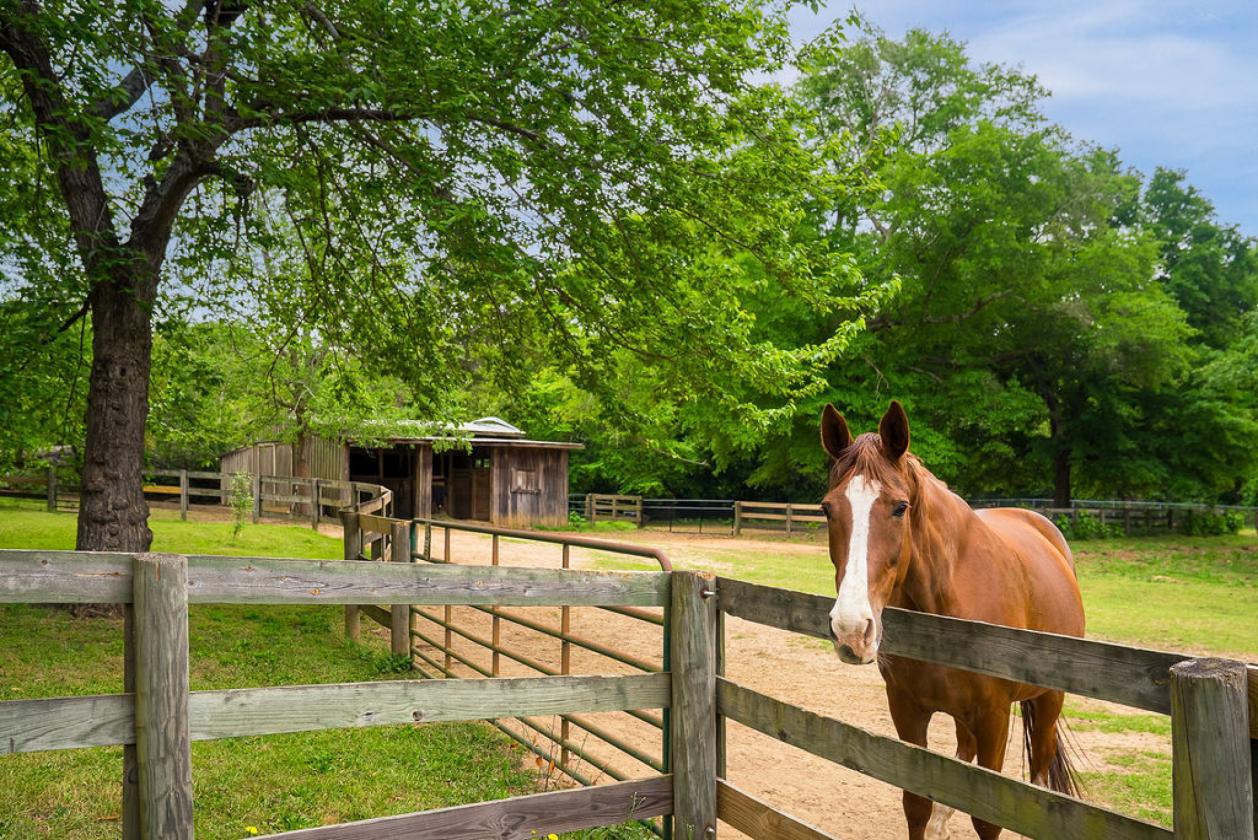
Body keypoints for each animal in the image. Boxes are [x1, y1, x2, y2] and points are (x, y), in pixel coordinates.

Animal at [818, 400, 1085, 840]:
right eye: (827, 508)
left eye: (900, 507)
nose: (851, 629)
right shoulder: (906, 709)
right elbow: (917, 803)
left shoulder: (995, 718)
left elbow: (987, 818)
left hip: (1049, 699)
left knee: (1040, 770)